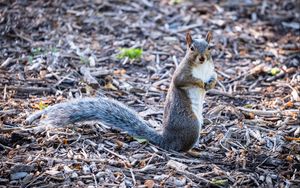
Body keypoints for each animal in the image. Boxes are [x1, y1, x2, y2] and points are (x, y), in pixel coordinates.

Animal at [25, 31, 217, 152]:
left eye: (210, 47)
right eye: (191, 48)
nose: (202, 57)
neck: (201, 67)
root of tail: (166, 139)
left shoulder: (211, 69)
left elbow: (214, 77)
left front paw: (211, 84)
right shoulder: (181, 73)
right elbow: (182, 81)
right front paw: (201, 83)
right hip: (191, 125)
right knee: (180, 149)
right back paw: (192, 152)